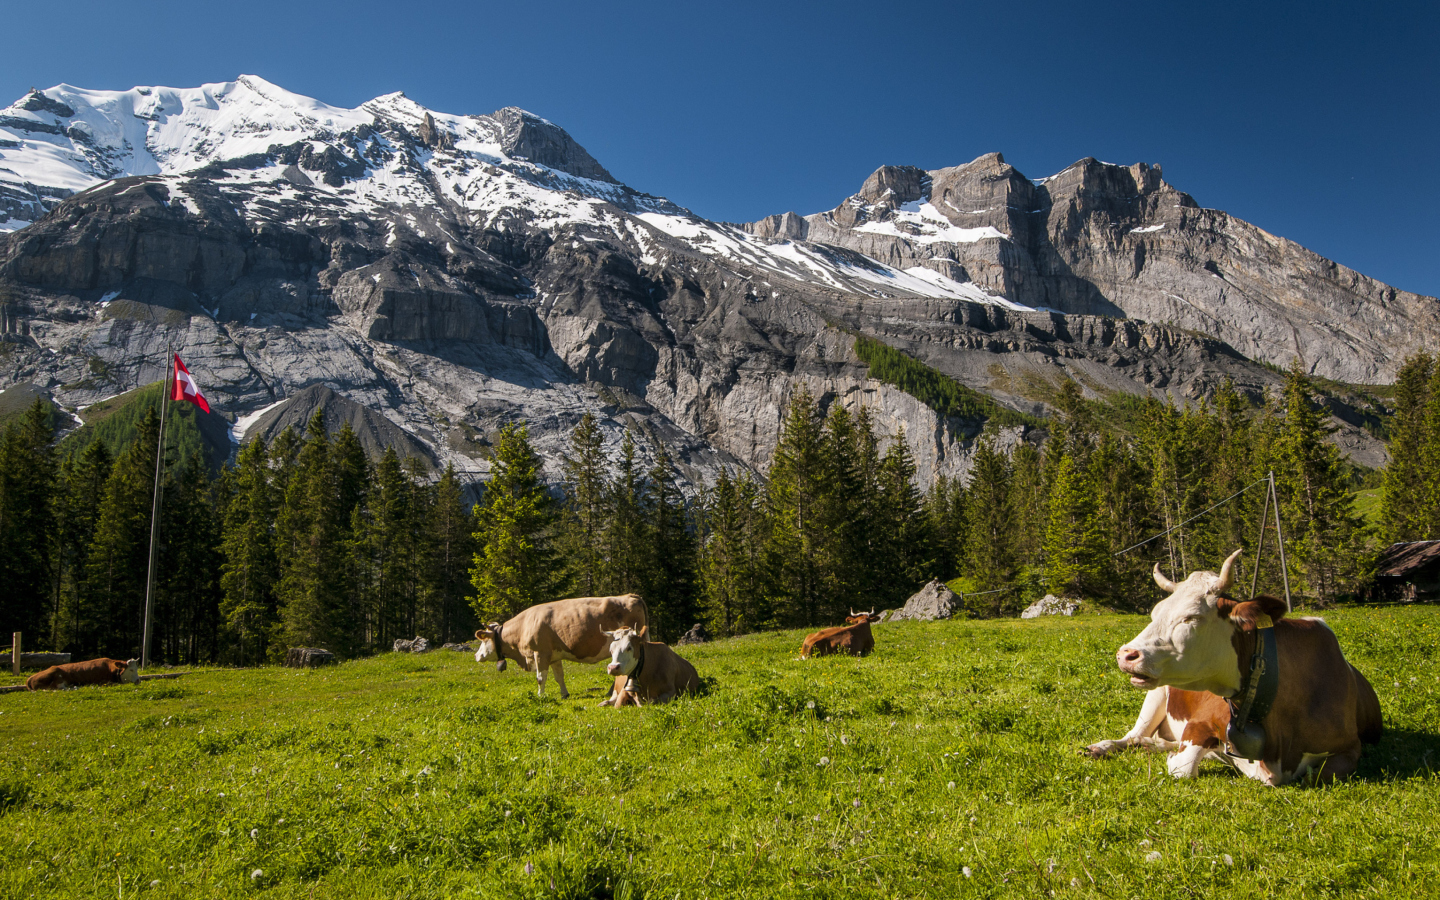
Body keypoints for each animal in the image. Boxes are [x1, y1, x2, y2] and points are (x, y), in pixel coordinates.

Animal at [472, 593, 648, 699]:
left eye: (484, 640)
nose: (476, 655)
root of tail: (631, 596)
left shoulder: (540, 653)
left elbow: (541, 677)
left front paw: (540, 695)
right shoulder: (554, 656)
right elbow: (559, 677)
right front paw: (564, 694)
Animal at [1088, 544, 1382, 783]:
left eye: (1191, 617)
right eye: (1155, 613)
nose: (1126, 654)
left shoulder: (1351, 747)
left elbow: (1319, 774)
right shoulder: (1201, 722)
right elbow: (1183, 767)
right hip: (1156, 695)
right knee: (1133, 736)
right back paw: (1101, 747)